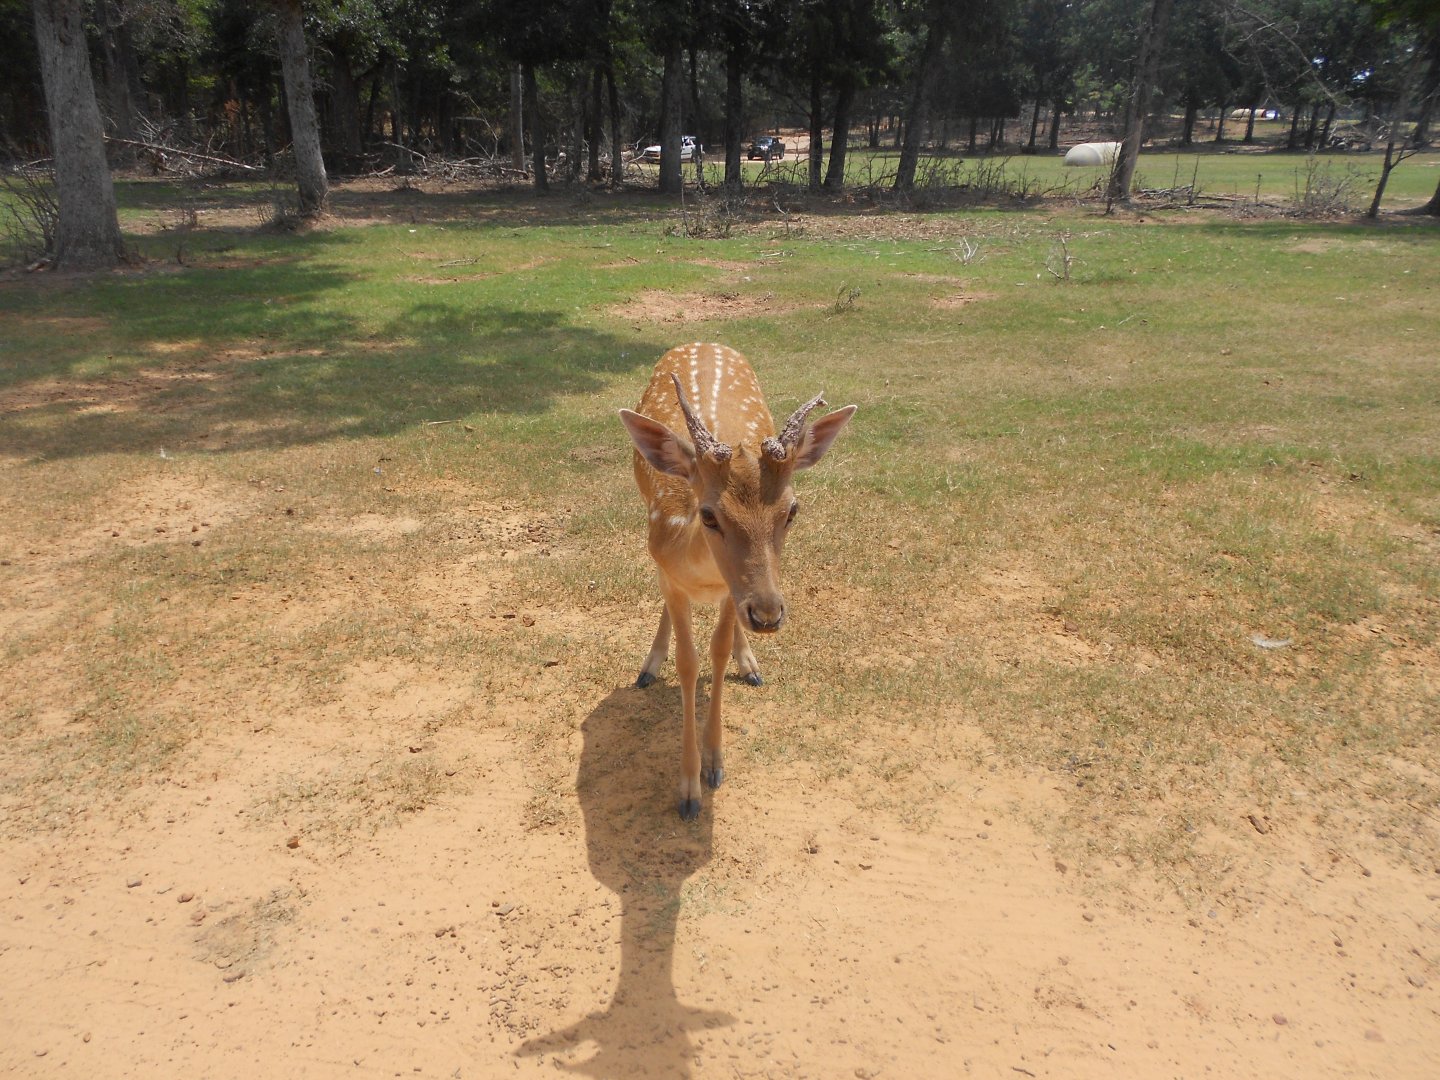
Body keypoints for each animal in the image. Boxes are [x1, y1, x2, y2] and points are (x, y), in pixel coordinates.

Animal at [618, 343, 856, 819]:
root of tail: (702, 341)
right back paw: (650, 666)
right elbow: (688, 663)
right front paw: (688, 790)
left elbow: (718, 651)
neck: (703, 575)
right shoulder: (669, 570)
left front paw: (715, 765)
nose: (768, 614)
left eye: (792, 509)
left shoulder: (733, 593)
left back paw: (751, 665)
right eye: (709, 514)